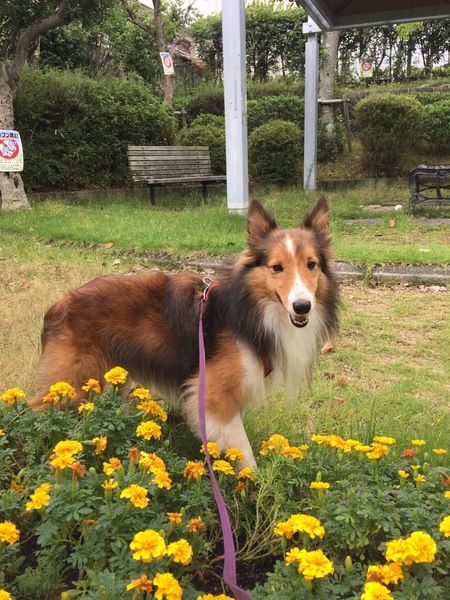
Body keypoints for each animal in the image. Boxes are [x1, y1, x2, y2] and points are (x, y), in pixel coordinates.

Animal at [29, 198, 339, 468]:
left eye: (311, 264)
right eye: (277, 267)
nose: (302, 306)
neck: (252, 309)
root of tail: (58, 305)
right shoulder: (212, 394)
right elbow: (243, 450)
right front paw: (251, 484)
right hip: (73, 386)